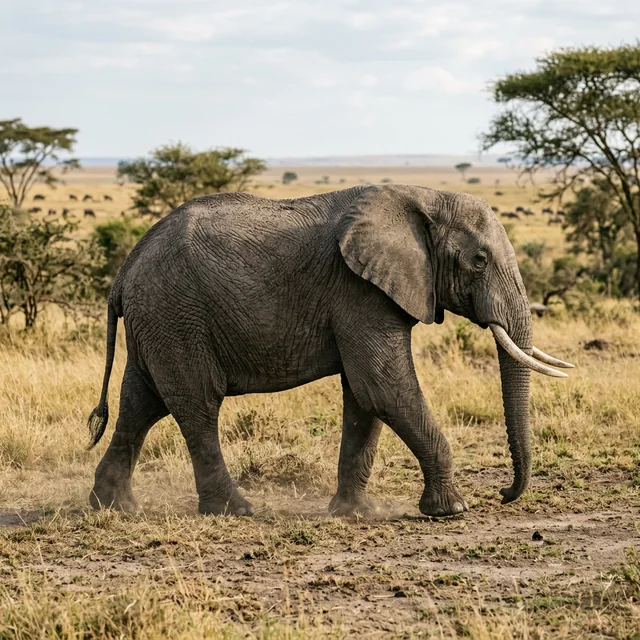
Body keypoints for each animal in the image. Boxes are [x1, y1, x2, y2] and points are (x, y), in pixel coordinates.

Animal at [87, 185, 574, 518]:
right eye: (479, 260)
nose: (504, 494)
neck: (423, 197)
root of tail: (125, 269)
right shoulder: (359, 290)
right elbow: (382, 384)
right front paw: (451, 510)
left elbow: (364, 399)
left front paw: (354, 514)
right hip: (176, 315)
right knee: (197, 404)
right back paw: (235, 511)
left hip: (158, 320)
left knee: (141, 404)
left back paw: (114, 507)